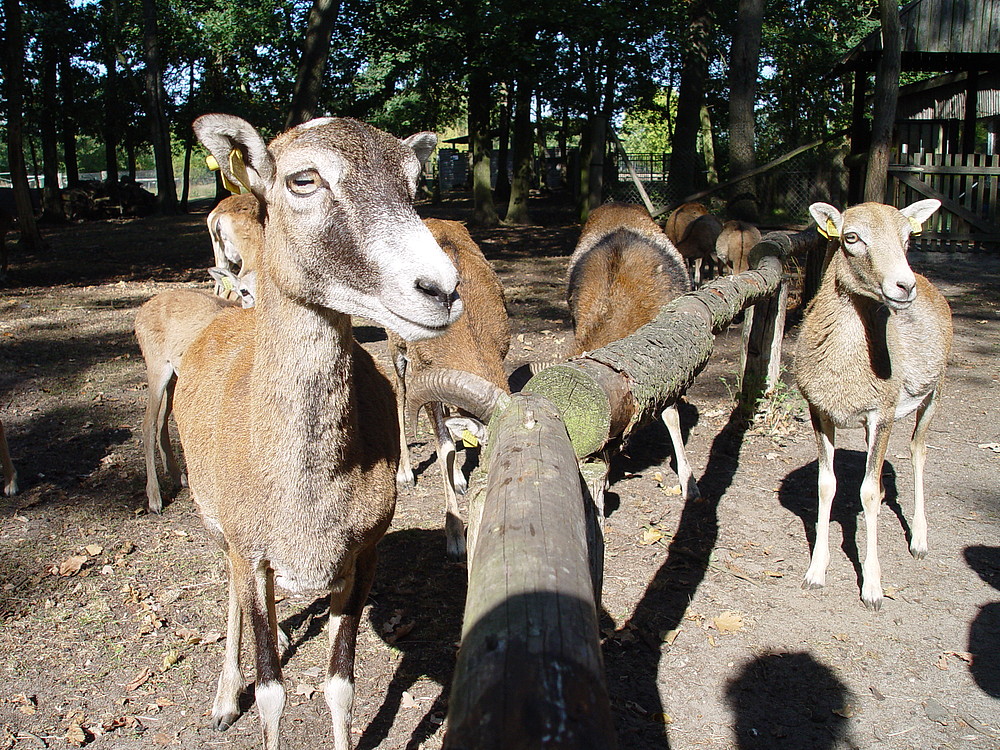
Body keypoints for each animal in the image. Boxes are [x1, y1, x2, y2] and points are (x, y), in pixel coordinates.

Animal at [132, 270, 254, 516]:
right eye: (243, 291)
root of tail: (142, 310)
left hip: (175, 378)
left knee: (162, 420)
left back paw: (179, 476)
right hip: (157, 367)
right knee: (148, 423)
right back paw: (155, 499)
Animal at [176, 113, 460, 750]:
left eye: (413, 182)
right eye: (303, 178)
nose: (441, 289)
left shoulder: (362, 554)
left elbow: (340, 686)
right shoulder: (251, 548)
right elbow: (272, 692)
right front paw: (244, 695)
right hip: (217, 528)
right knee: (231, 596)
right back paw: (223, 699)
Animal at [792, 198, 948, 612]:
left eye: (908, 237)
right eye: (851, 237)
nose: (904, 285)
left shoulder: (883, 411)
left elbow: (866, 493)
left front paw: (873, 589)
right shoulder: (820, 410)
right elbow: (827, 484)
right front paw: (815, 573)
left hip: (933, 393)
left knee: (917, 451)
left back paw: (919, 541)